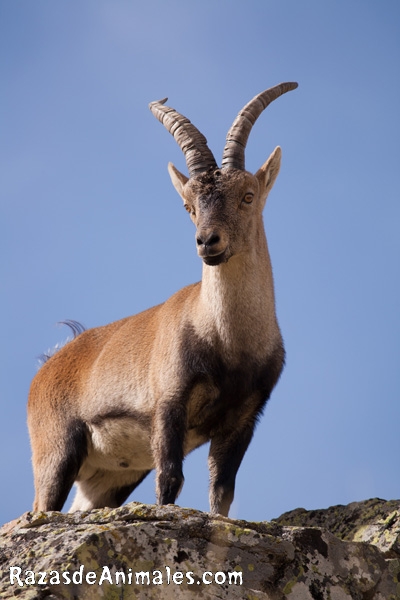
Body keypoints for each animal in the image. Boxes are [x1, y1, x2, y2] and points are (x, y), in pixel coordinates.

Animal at [27, 82, 298, 517]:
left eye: (248, 195)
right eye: (189, 205)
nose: (207, 242)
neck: (229, 342)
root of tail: (48, 364)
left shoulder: (243, 418)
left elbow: (222, 492)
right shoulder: (169, 403)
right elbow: (170, 478)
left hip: (109, 475)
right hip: (55, 449)